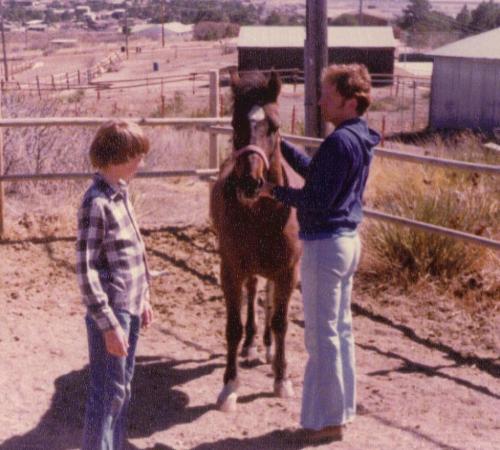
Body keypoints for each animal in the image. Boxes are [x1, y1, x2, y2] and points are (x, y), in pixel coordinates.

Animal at [210, 69, 300, 412]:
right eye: (235, 124)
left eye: (274, 126)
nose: (250, 182)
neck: (261, 212)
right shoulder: (231, 270)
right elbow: (233, 327)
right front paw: (229, 387)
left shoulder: (288, 271)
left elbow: (281, 322)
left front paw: (282, 379)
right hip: (249, 270)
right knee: (252, 293)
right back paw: (251, 346)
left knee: (271, 301)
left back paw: (270, 351)